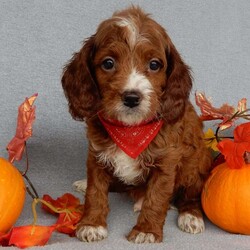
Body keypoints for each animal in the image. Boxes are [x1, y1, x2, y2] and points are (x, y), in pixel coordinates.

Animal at [61, 5, 212, 243]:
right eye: (108, 63)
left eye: (154, 65)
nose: (132, 97)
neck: (131, 129)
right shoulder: (96, 154)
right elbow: (96, 191)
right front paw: (92, 224)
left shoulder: (166, 161)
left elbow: (157, 198)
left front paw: (146, 230)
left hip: (196, 162)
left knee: (191, 195)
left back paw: (190, 216)